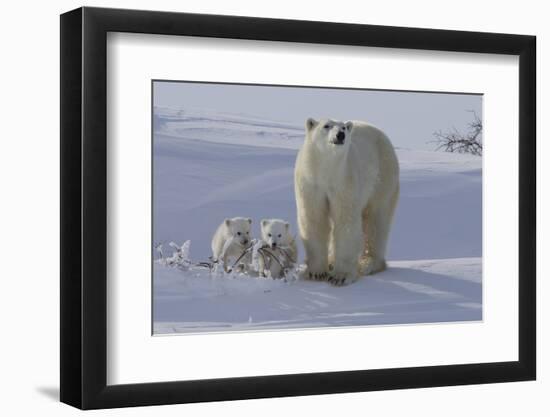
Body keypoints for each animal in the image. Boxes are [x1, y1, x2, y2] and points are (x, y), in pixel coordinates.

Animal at [296, 117, 398, 286]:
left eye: (343, 127)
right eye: (326, 126)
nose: (340, 135)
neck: (327, 171)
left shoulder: (344, 181)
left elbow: (345, 220)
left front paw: (340, 276)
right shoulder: (311, 183)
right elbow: (314, 219)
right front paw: (316, 272)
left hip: (382, 176)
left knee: (376, 220)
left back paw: (368, 263)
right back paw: (331, 261)